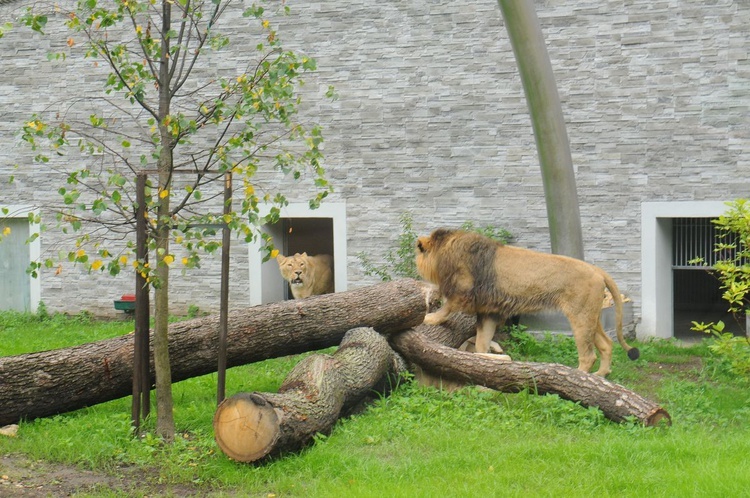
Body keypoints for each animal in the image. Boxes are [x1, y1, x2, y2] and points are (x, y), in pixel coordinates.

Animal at [418, 230, 640, 378]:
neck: (446, 249)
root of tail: (597, 269)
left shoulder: (463, 293)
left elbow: (447, 308)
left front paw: (430, 318)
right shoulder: (489, 310)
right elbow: (482, 342)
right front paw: (483, 363)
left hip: (580, 316)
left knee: (588, 355)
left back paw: (578, 378)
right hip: (591, 315)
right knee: (607, 344)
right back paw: (599, 376)